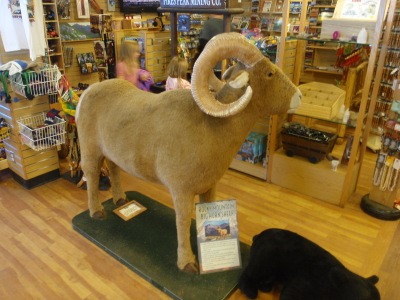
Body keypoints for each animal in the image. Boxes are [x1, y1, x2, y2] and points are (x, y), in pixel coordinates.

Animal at [76, 32, 300, 274]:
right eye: (269, 73)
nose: (299, 96)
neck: (211, 126)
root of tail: (86, 94)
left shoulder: (209, 186)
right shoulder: (181, 191)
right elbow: (183, 221)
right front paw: (187, 263)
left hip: (111, 153)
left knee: (114, 170)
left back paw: (120, 200)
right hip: (90, 152)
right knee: (91, 176)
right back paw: (97, 212)